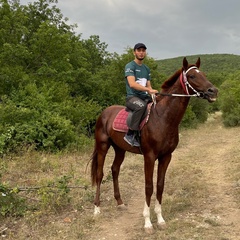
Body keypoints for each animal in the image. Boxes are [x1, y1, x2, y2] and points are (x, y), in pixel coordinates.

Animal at [90, 57, 218, 232]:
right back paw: (97, 209)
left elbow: (160, 185)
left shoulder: (166, 156)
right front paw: (147, 222)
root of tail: (104, 113)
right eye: (192, 76)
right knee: (99, 174)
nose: (213, 91)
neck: (163, 118)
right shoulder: (149, 156)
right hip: (103, 146)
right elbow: (149, 186)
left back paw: (120, 203)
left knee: (115, 170)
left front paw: (160, 219)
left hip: (120, 149)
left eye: (203, 74)